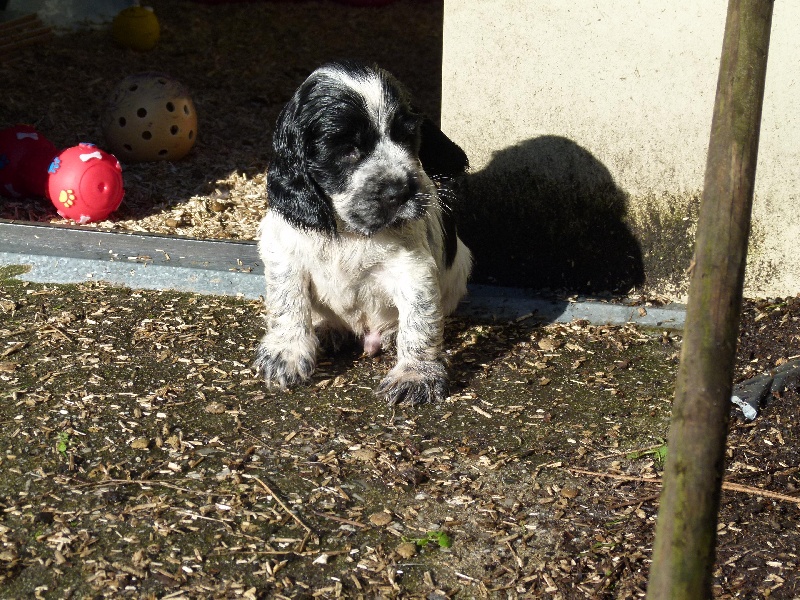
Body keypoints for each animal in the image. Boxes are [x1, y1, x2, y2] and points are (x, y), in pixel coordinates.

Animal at [254, 61, 472, 405]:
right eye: (347, 149)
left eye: (407, 135)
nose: (400, 191)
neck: (350, 230)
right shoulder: (283, 250)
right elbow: (286, 302)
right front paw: (285, 353)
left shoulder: (413, 268)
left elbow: (420, 320)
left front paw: (416, 375)